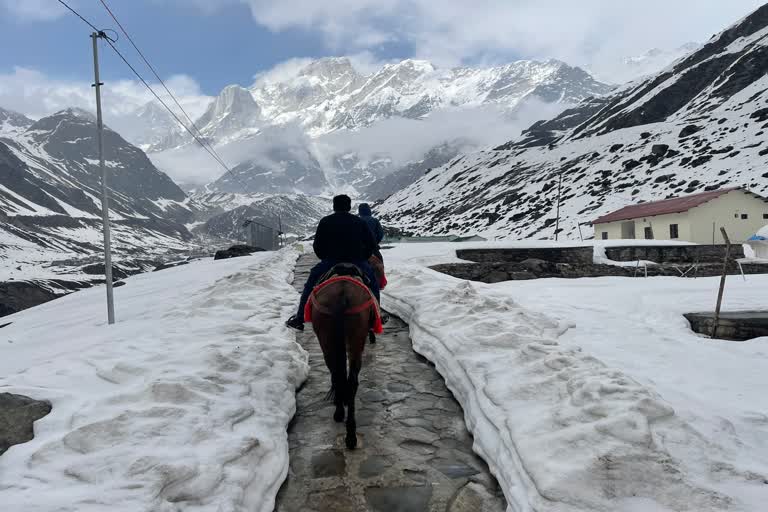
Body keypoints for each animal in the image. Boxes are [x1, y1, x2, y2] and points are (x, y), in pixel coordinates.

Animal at [308, 276, 376, 448]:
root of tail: (342, 293)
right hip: (354, 340)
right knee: (349, 381)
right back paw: (350, 434)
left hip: (328, 342)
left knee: (338, 376)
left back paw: (341, 418)